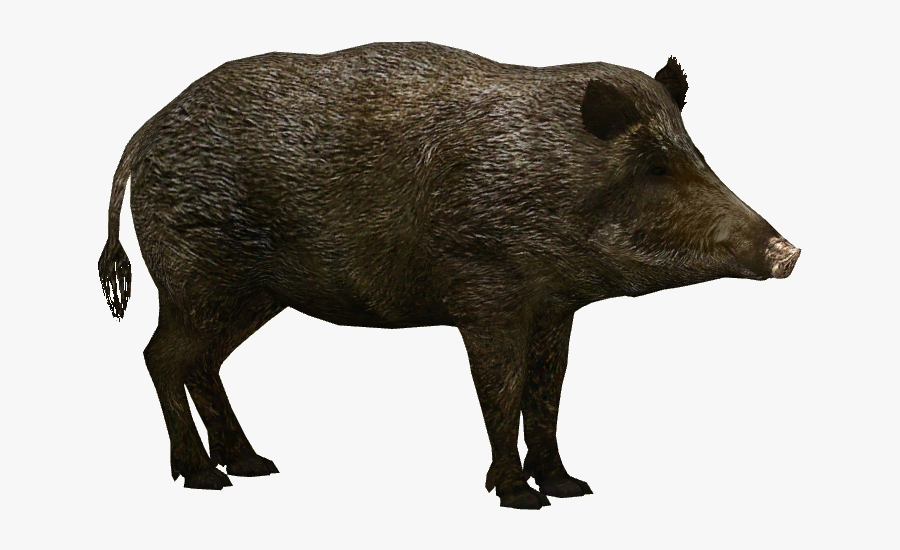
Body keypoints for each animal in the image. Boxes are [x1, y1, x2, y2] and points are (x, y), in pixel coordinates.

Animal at [98, 42, 800, 509]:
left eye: (698, 155)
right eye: (654, 167)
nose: (789, 252)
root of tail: (146, 131)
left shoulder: (556, 308)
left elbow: (548, 394)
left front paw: (572, 487)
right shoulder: (486, 295)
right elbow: (503, 392)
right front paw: (522, 497)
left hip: (251, 295)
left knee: (201, 362)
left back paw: (255, 465)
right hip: (196, 277)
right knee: (161, 355)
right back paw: (206, 477)